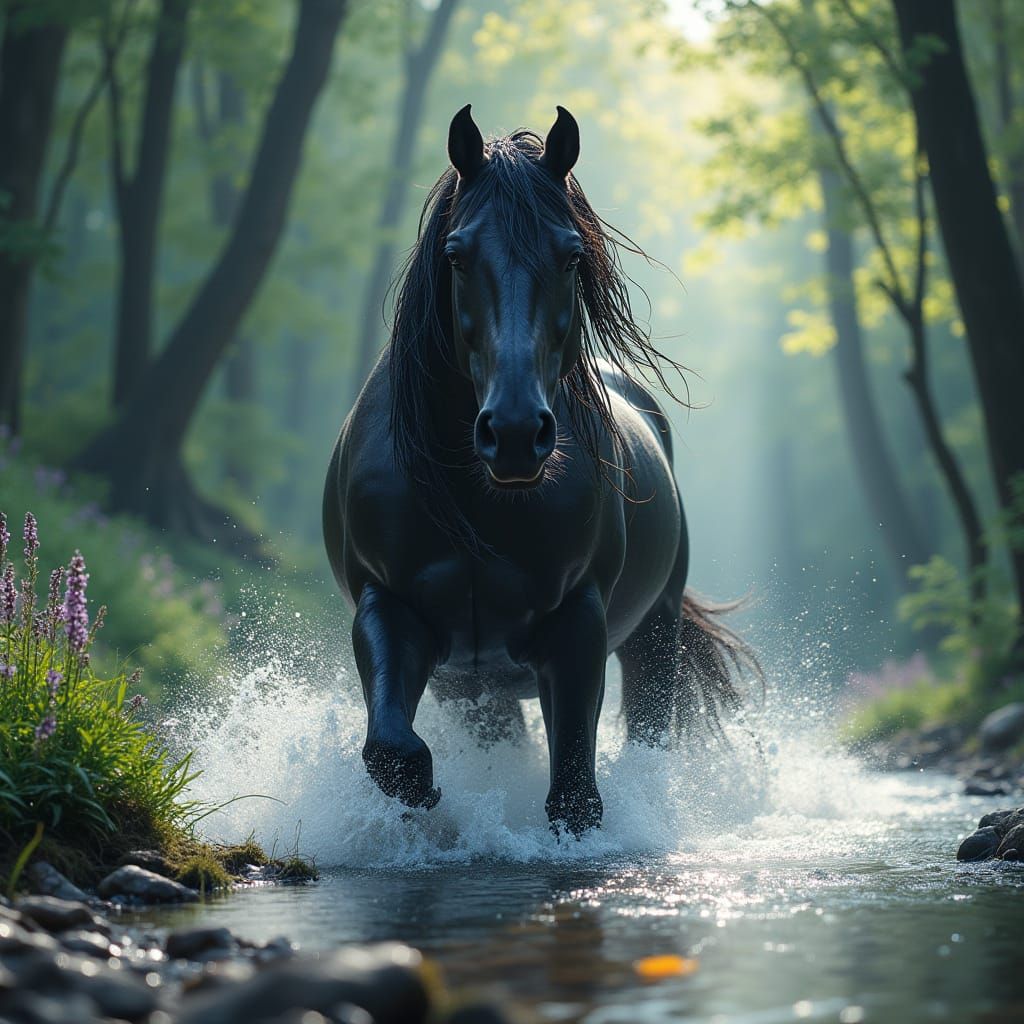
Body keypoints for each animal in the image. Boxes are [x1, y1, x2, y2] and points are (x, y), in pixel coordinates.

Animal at [323, 105, 757, 838]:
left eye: (571, 254)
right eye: (457, 255)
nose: (517, 435)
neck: (474, 500)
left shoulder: (575, 622)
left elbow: (575, 793)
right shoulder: (392, 606)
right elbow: (393, 751)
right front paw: (430, 809)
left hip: (654, 634)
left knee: (646, 733)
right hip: (480, 688)